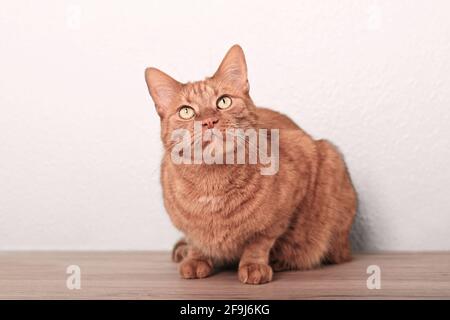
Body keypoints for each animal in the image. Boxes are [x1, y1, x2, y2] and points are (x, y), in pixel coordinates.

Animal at [144, 43, 356, 284]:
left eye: (223, 101)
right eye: (186, 111)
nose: (209, 121)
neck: (212, 183)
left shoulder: (287, 201)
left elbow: (260, 240)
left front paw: (254, 265)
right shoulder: (185, 225)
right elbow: (195, 240)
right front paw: (196, 258)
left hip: (331, 159)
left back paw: (283, 260)